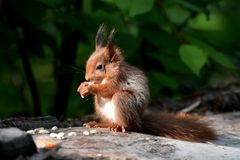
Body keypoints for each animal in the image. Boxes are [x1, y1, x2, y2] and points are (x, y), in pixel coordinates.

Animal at [78, 25, 217, 141]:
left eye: (99, 67)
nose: (87, 78)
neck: (109, 73)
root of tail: (139, 122)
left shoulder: (118, 79)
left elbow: (107, 90)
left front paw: (90, 88)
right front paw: (82, 86)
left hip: (124, 100)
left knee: (128, 125)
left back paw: (119, 126)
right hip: (100, 106)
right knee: (109, 121)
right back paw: (99, 124)